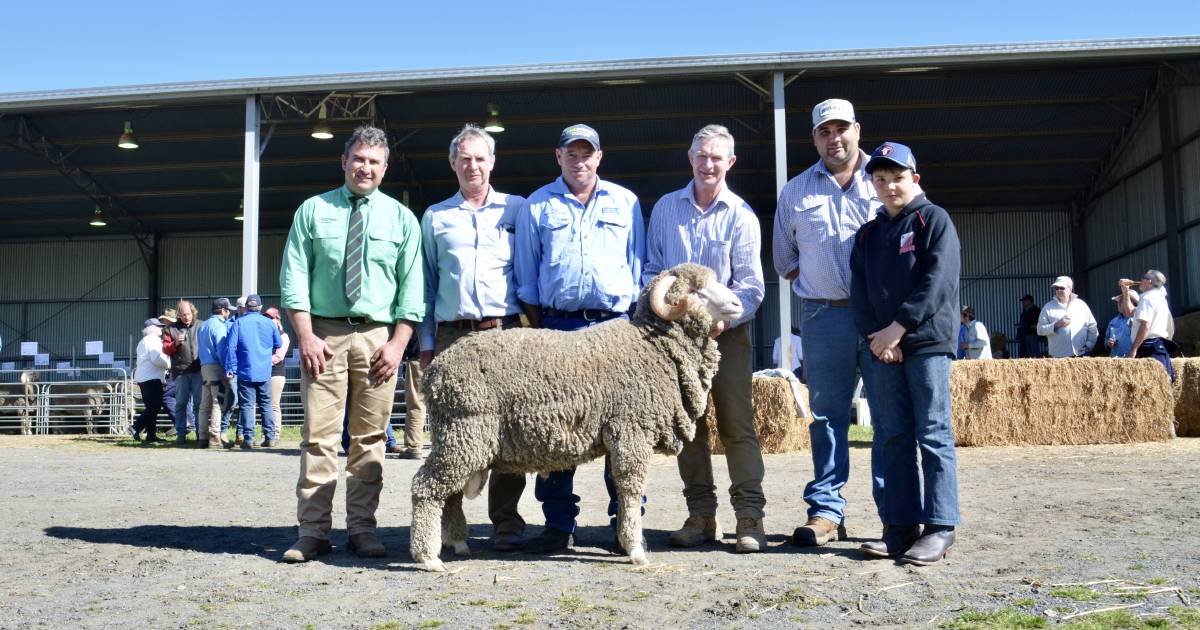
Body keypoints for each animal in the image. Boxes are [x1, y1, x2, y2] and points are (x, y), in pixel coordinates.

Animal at [410, 260, 739, 568]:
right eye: (696, 291)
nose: (737, 304)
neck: (651, 346)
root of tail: (435, 371)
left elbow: (621, 490)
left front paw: (626, 542)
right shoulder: (631, 430)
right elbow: (631, 488)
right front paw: (635, 550)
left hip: (459, 439)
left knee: (450, 493)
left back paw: (457, 543)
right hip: (464, 432)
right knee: (426, 487)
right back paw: (428, 557)